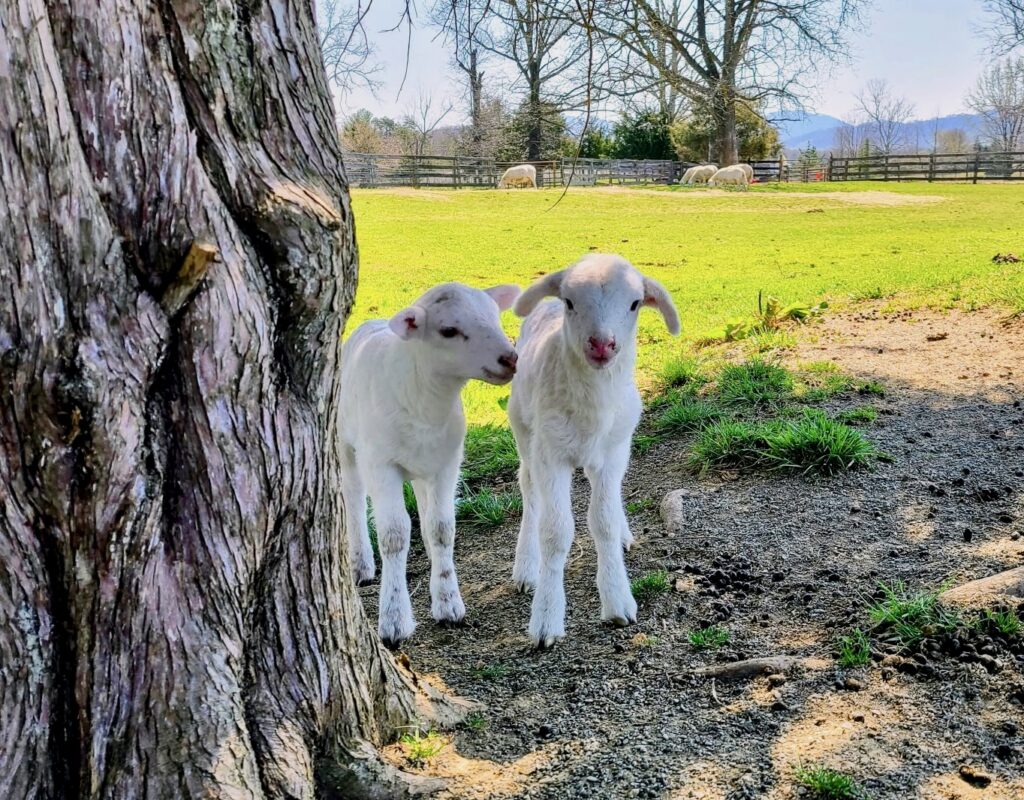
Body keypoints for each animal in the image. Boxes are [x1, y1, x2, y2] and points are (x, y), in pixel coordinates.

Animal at [340, 282, 521, 646]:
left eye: (495, 316)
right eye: (448, 330)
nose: (510, 358)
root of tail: (374, 323)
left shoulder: (447, 463)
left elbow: (441, 529)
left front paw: (449, 603)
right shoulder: (381, 464)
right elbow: (394, 535)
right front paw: (394, 620)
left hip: (423, 468)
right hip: (346, 444)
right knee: (353, 498)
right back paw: (361, 566)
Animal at [508, 254, 680, 647]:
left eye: (634, 303)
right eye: (570, 302)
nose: (602, 344)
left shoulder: (614, 452)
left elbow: (603, 522)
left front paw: (618, 600)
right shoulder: (550, 455)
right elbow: (555, 533)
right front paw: (546, 618)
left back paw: (624, 534)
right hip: (523, 429)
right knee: (529, 490)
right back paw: (526, 567)